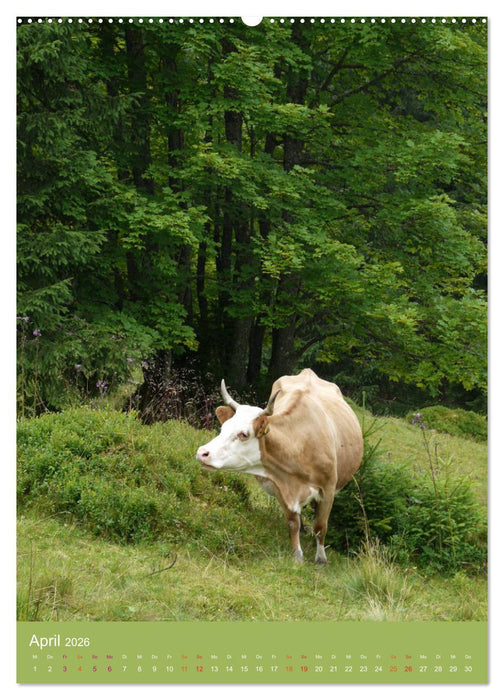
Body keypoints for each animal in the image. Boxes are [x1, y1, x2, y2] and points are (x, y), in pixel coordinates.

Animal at [196, 368, 363, 564]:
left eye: (244, 434)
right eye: (223, 428)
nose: (202, 452)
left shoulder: (328, 490)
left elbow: (321, 526)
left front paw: (321, 558)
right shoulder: (280, 485)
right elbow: (292, 522)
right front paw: (297, 555)